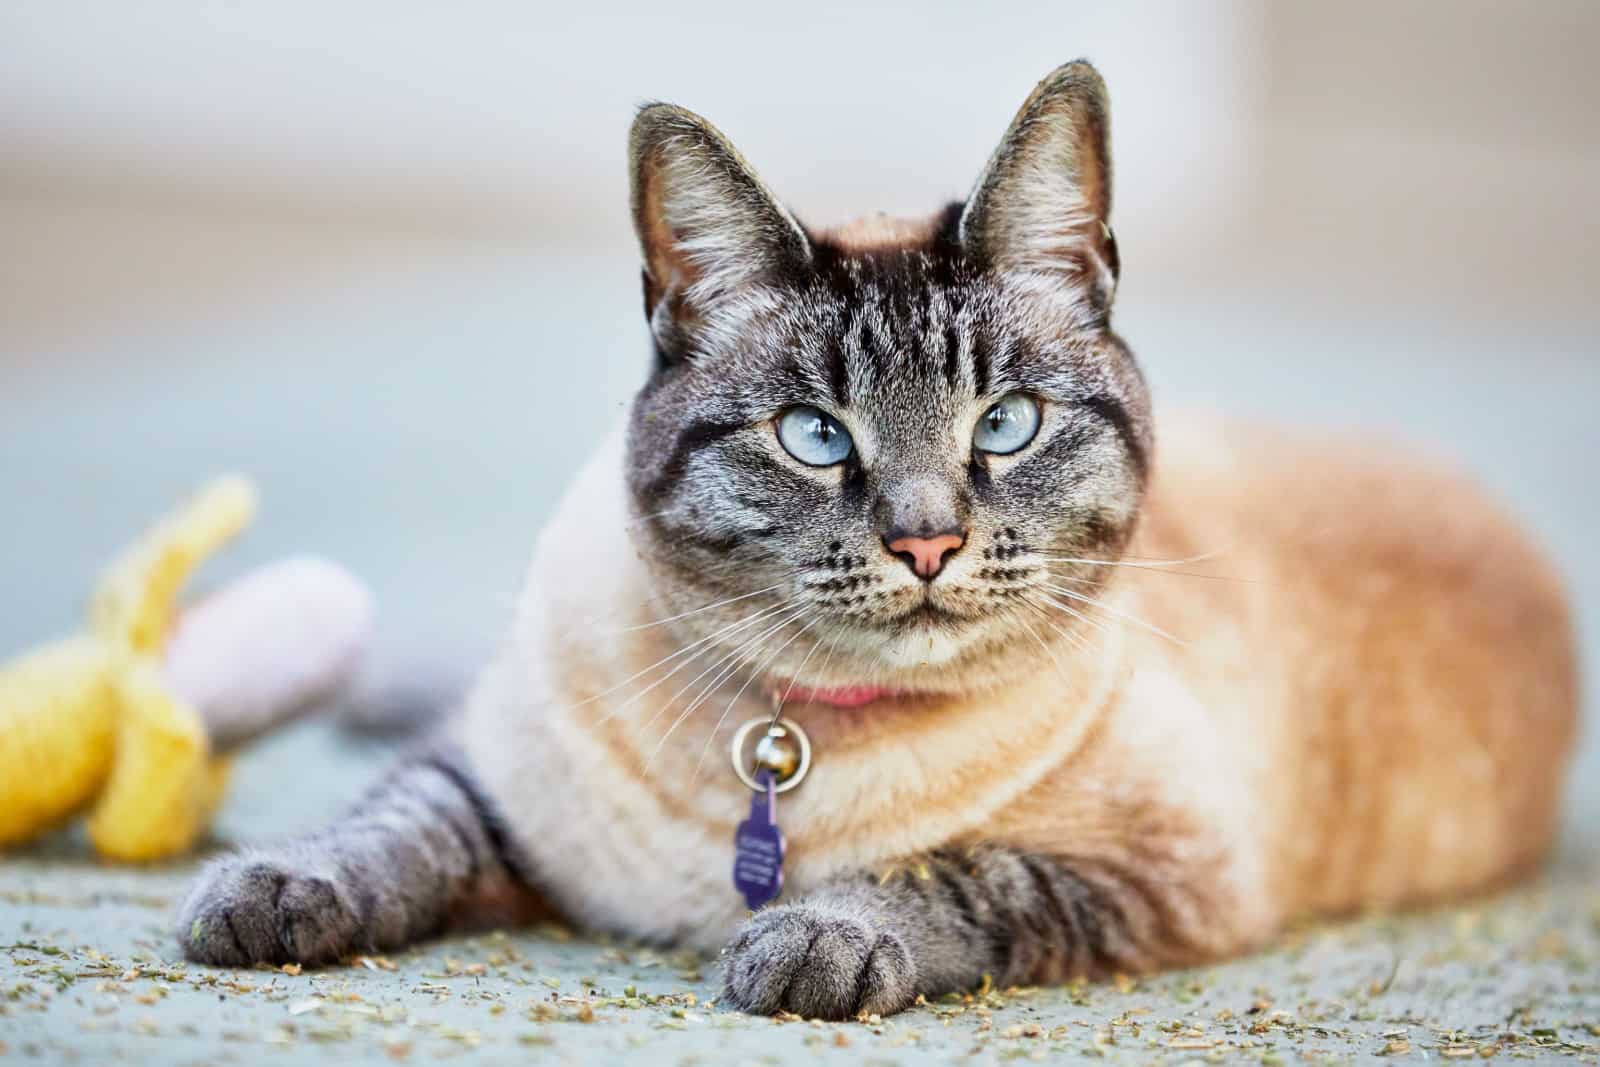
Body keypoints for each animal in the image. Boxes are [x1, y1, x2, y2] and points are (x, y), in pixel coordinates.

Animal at [175, 60, 1574, 1023]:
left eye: (1004, 424)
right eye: (814, 436)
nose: (926, 545)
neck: (779, 739)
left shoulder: (1160, 868)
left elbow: (946, 873)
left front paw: (809, 938)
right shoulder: (495, 784)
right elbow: (389, 827)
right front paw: (262, 891)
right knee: (424, 701)